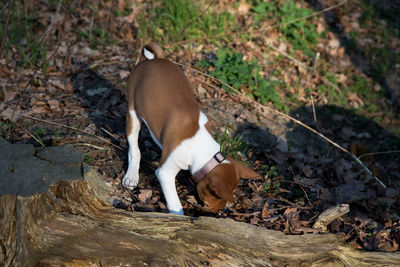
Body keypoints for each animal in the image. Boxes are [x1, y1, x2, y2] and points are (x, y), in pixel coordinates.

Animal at [122, 43, 260, 216]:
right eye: (214, 196)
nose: (220, 212)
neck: (202, 148)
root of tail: (152, 60)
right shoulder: (165, 173)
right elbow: (176, 206)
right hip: (133, 114)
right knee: (134, 149)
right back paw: (131, 176)